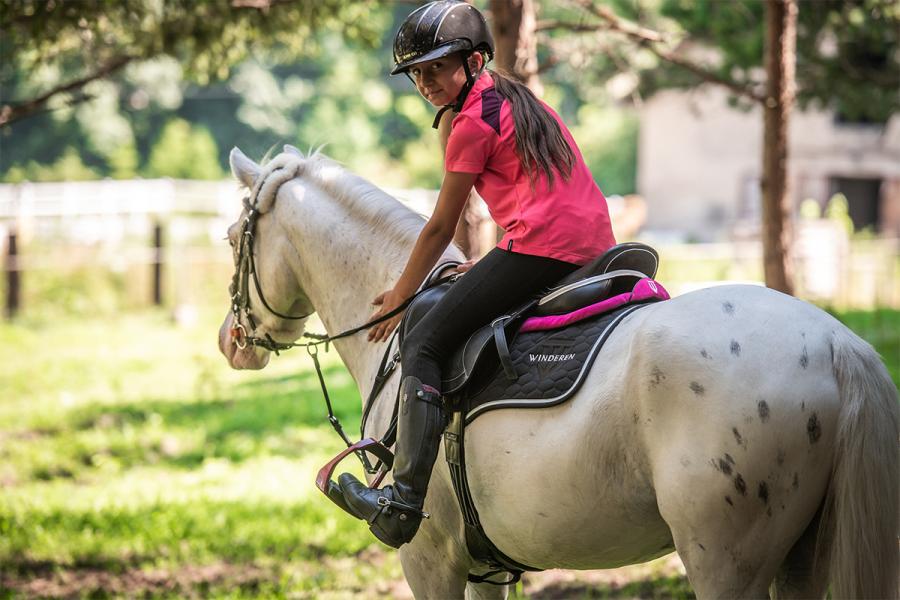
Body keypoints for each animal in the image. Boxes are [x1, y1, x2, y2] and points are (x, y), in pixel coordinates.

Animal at [218, 147, 898, 599]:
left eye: (230, 238)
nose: (231, 341)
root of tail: (837, 345)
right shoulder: (486, 568)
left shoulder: (431, 563)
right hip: (798, 560)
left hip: (724, 563)